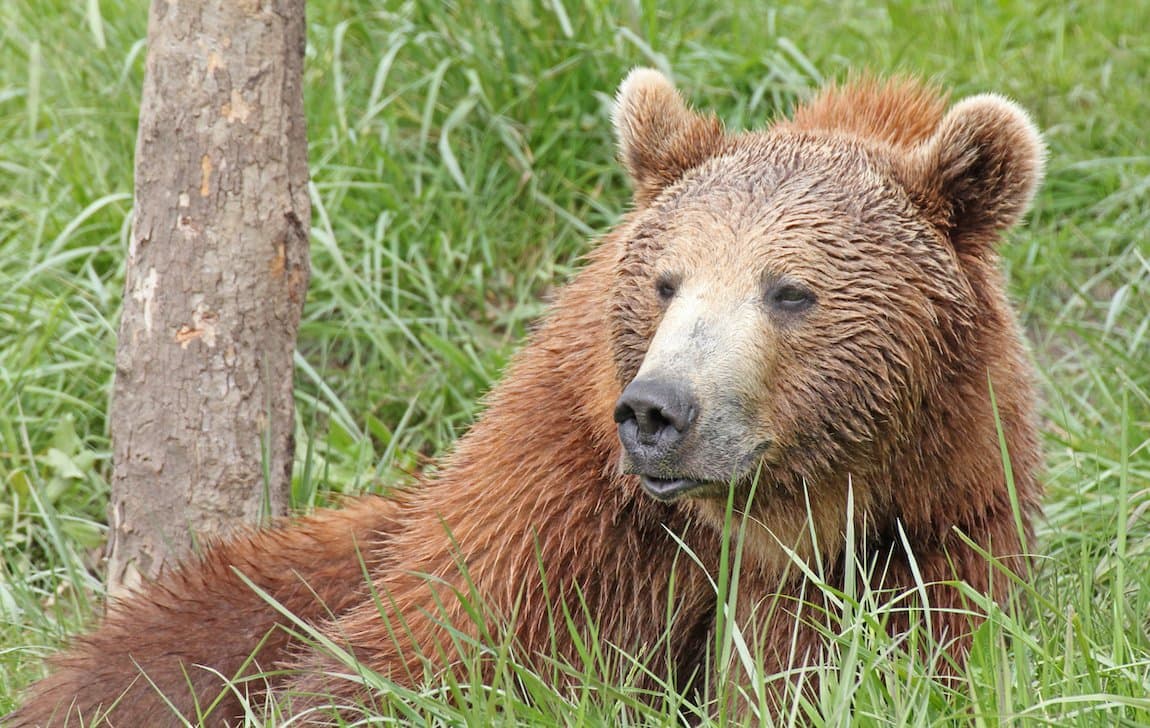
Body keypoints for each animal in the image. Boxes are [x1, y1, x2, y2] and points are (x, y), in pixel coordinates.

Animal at [11, 69, 1045, 726]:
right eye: (667, 281)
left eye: (790, 290)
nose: (658, 410)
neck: (780, 521)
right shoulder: (561, 526)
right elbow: (408, 670)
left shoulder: (939, 523)